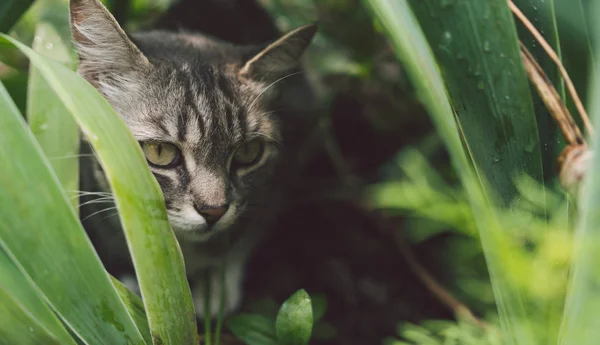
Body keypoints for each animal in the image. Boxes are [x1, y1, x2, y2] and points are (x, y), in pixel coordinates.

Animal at [70, 0, 316, 314]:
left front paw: (217, 288)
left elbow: (246, 237)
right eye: (160, 151)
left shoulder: (284, 177)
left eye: (248, 153)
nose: (214, 211)